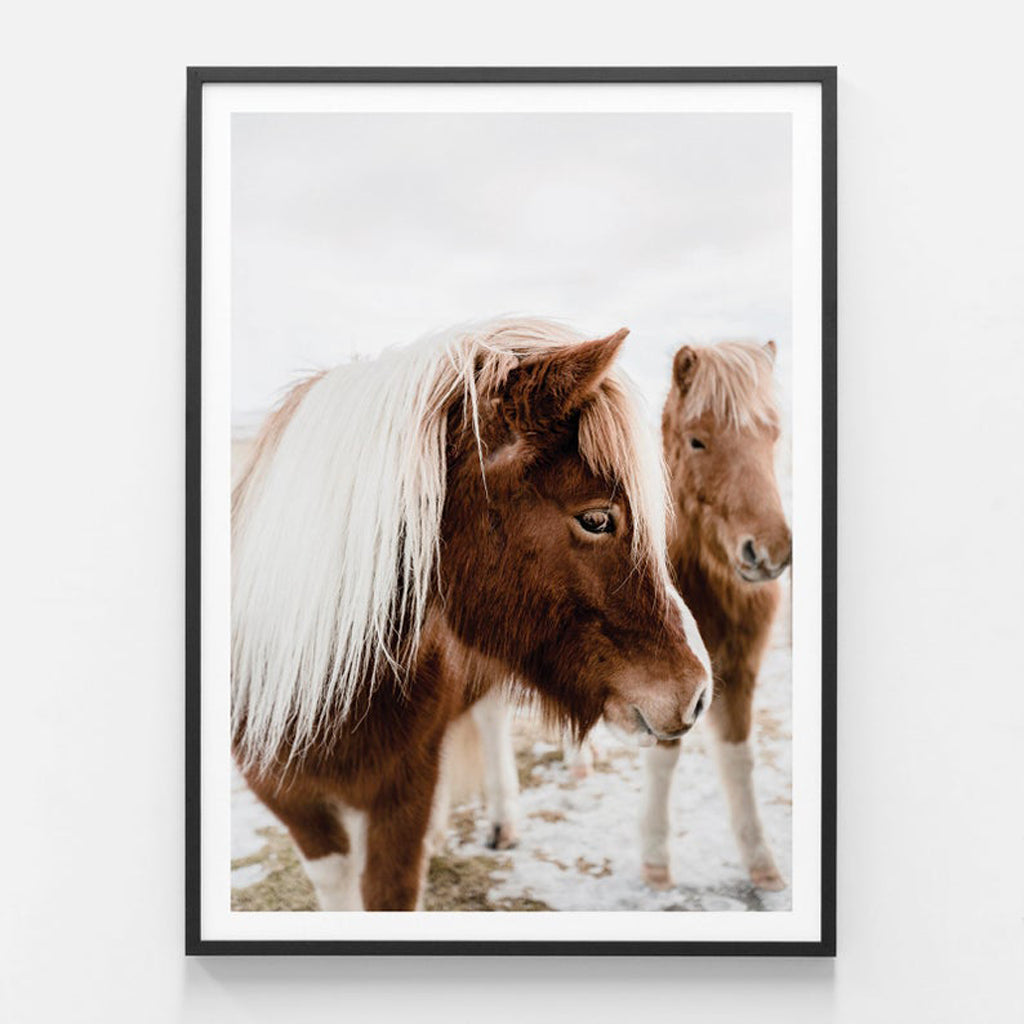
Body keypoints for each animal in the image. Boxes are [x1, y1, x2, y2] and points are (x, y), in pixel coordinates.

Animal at [469, 339, 791, 891]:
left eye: (773, 434)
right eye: (698, 441)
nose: (769, 551)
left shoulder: (736, 667)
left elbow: (739, 756)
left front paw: (761, 861)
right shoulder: (670, 683)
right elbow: (665, 755)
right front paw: (656, 860)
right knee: (491, 714)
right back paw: (504, 821)